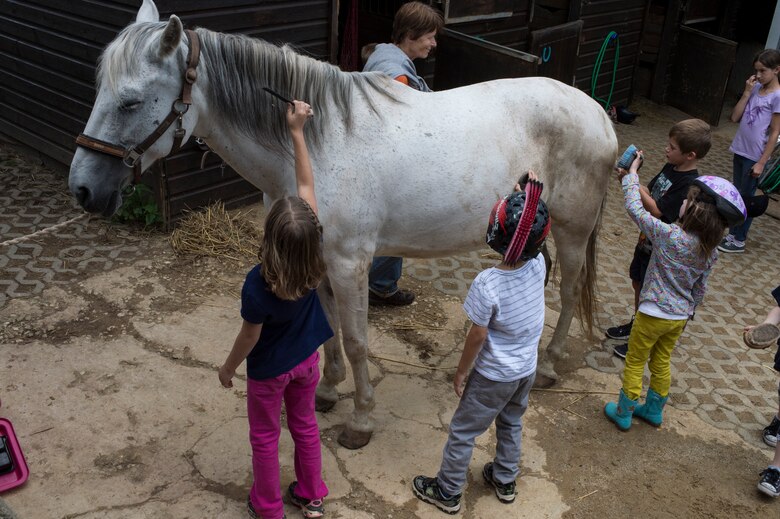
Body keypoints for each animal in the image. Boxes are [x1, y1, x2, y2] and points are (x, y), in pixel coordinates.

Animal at [68, 0, 618, 449]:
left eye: (131, 101)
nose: (83, 189)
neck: (315, 143)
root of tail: (598, 112)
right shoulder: (316, 254)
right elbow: (328, 329)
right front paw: (329, 391)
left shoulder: (349, 262)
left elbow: (355, 340)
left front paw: (361, 419)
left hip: (572, 230)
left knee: (569, 292)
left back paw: (548, 364)